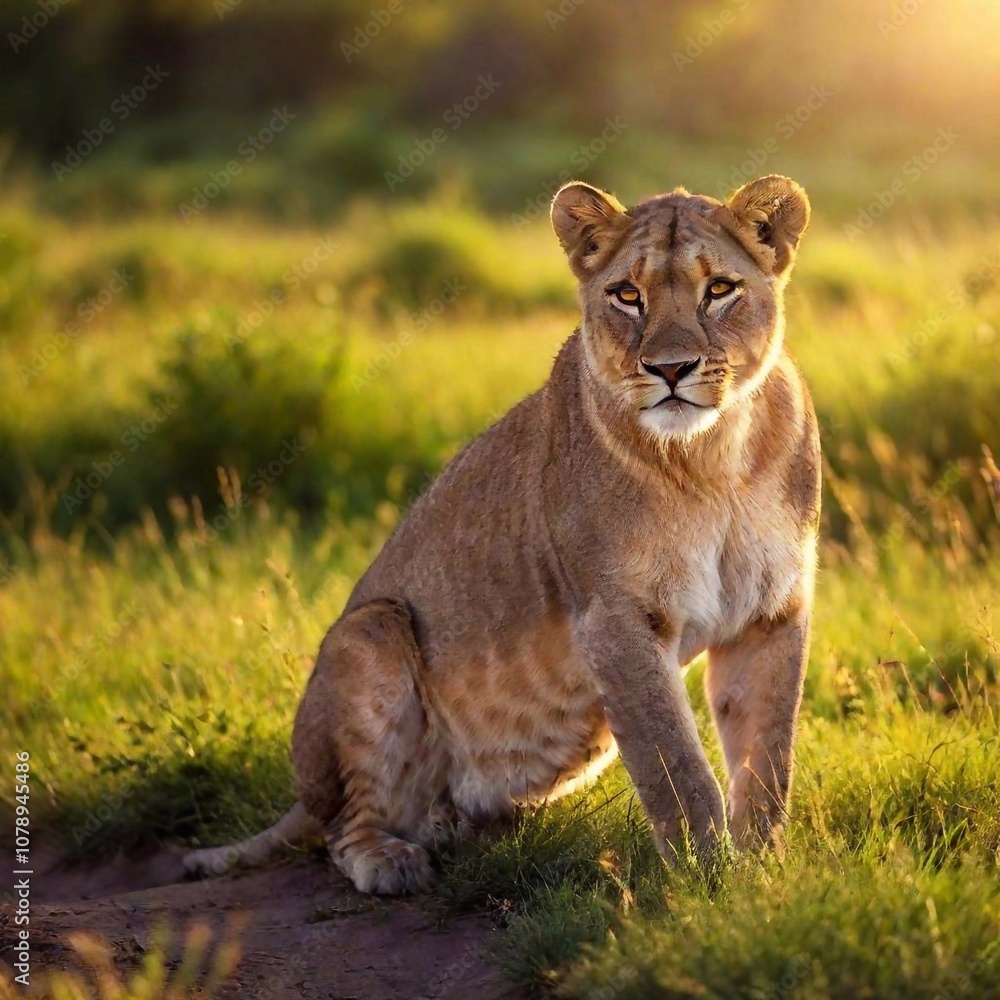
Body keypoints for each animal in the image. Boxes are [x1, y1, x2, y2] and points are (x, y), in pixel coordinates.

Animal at [184, 174, 820, 894]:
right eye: (627, 295)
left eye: (719, 289)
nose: (671, 369)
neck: (713, 461)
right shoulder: (615, 619)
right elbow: (678, 770)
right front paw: (708, 882)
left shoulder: (770, 613)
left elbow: (766, 761)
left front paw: (765, 874)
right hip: (371, 629)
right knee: (342, 829)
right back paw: (391, 861)